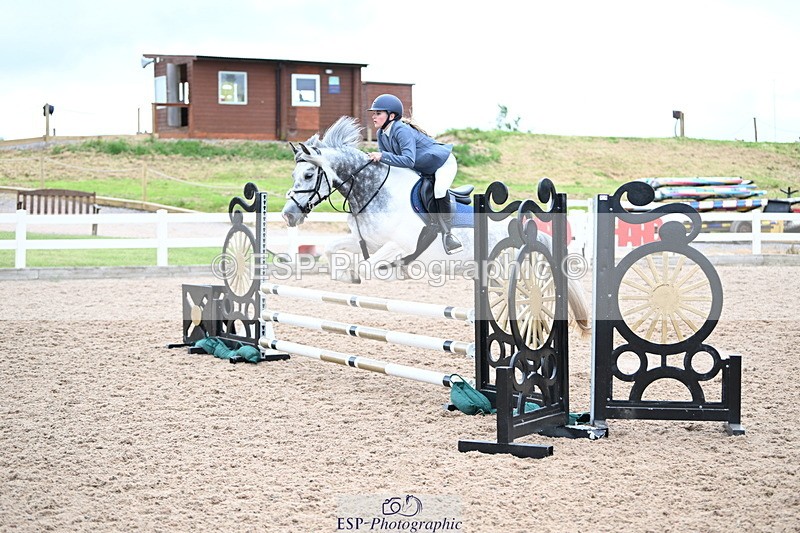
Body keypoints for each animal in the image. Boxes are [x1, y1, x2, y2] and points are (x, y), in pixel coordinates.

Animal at [281, 116, 590, 331]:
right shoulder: (368, 242)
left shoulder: (399, 245)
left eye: (308, 175)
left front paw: (385, 273)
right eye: (294, 174)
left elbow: (367, 268)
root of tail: (526, 230)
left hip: (509, 272)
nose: (288, 215)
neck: (374, 191)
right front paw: (344, 275)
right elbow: (333, 249)